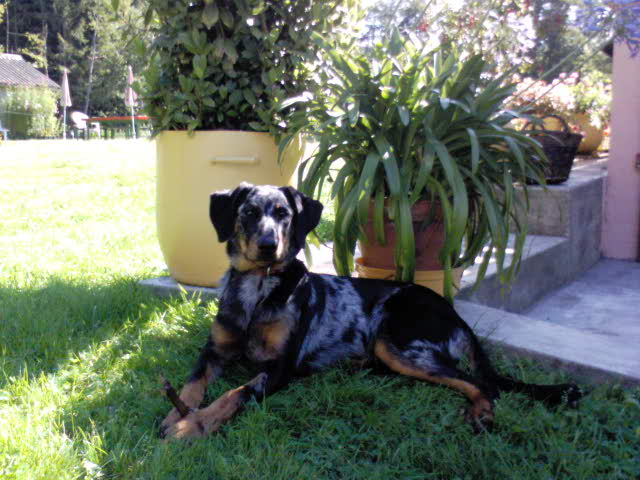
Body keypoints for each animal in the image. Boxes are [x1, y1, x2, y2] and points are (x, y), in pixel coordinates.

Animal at [159, 182, 582, 439]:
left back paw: (482, 412)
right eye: (247, 212)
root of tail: (452, 311)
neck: (259, 289)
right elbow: (192, 384)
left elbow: (234, 393)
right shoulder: (213, 350)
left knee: (482, 383)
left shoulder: (280, 368)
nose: (267, 245)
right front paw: (175, 415)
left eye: (283, 214)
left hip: (398, 343)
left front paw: (192, 425)